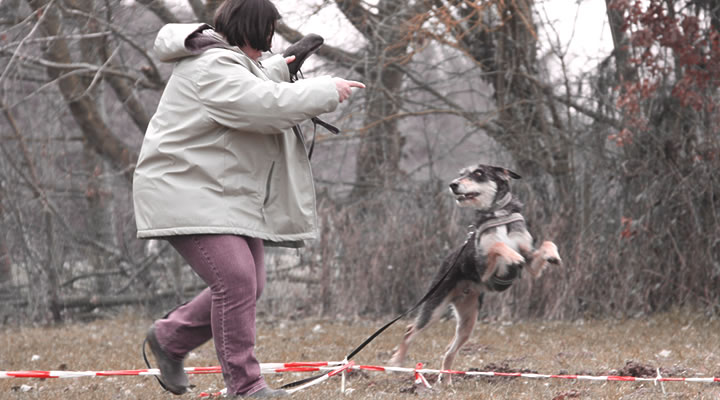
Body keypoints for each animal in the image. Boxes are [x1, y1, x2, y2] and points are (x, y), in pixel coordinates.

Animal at [388, 163, 564, 384]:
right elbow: (497, 245)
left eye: (478, 173)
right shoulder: (484, 268)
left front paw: (553, 255)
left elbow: (547, 243)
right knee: (411, 330)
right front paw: (512, 256)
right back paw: (396, 362)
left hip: (468, 321)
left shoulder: (531, 263)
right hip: (435, 306)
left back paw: (446, 381)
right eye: (461, 174)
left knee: (449, 349)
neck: (498, 215)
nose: (453, 184)